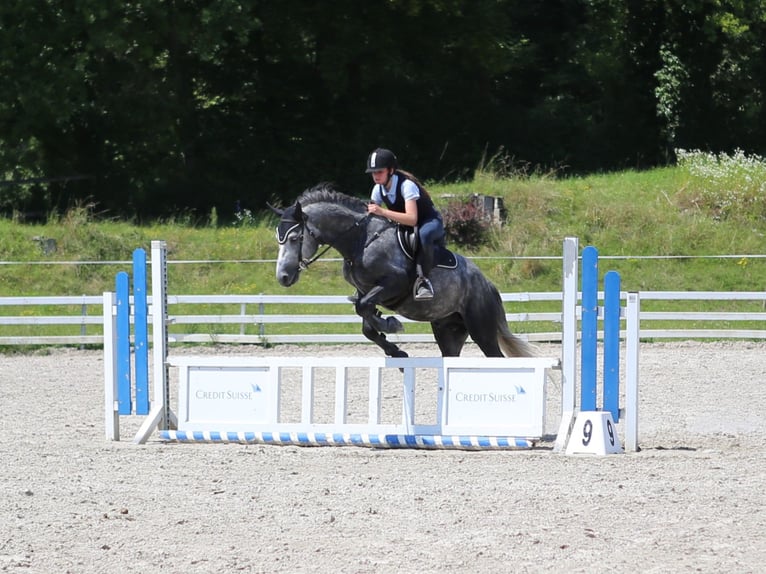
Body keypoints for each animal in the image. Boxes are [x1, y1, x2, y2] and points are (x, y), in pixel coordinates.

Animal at [272, 184, 536, 360]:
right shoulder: (365, 291)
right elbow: (366, 320)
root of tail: (488, 285)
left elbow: (365, 308)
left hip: (481, 328)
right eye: (279, 240)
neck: (359, 241)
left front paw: (391, 325)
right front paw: (394, 349)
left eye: (294, 238)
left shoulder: (393, 283)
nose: (282, 277)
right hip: (448, 329)